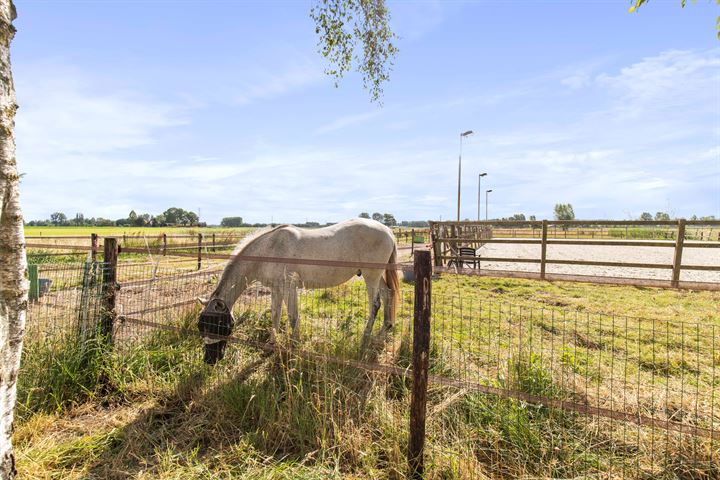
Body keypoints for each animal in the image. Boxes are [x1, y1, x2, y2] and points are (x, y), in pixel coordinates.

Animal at [197, 218, 400, 364]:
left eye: (218, 325)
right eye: (201, 326)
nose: (209, 360)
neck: (269, 249)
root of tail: (388, 230)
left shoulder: (289, 287)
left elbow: (293, 316)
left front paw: (294, 346)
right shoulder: (276, 288)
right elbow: (276, 314)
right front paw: (272, 345)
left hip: (370, 275)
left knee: (375, 304)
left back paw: (364, 340)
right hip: (377, 276)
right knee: (388, 294)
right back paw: (382, 332)